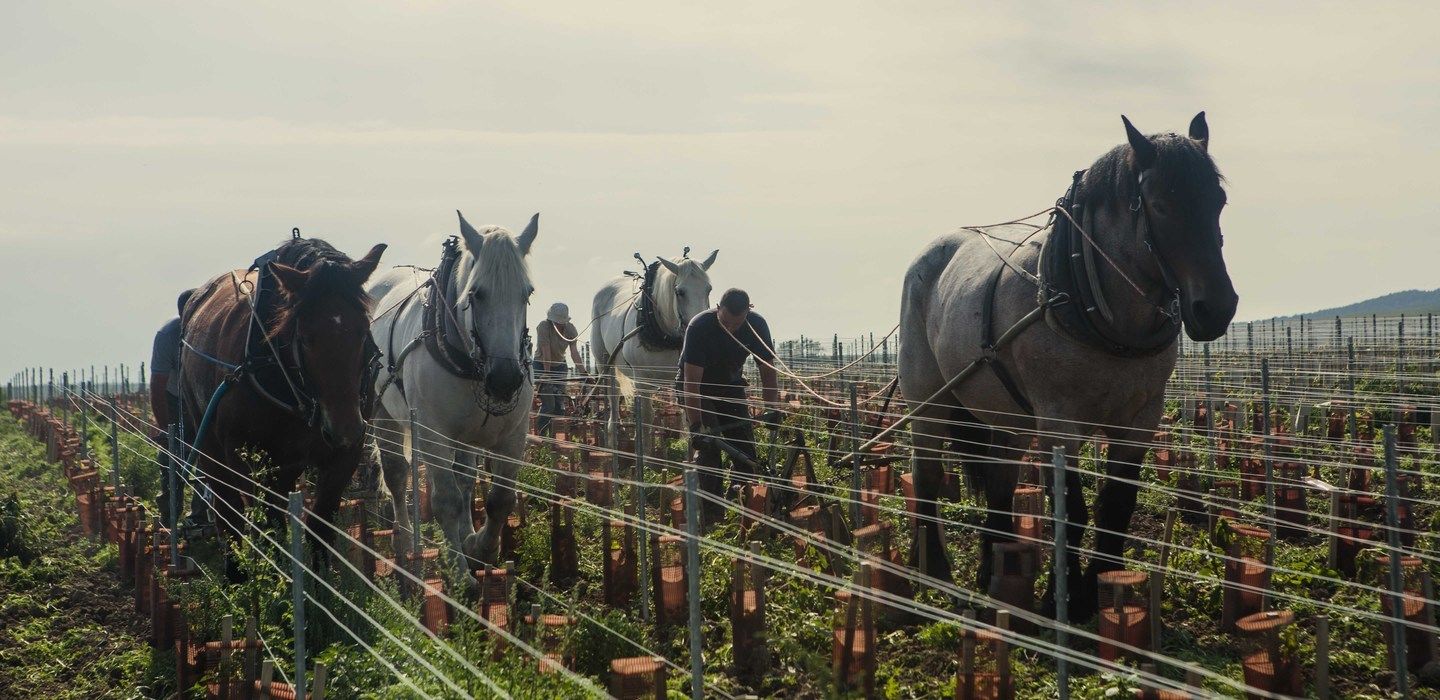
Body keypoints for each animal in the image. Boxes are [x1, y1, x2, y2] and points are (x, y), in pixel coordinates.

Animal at [179, 237, 383, 576]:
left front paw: (318, 584)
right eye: (305, 337)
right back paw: (235, 575)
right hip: (209, 445)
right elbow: (268, 529)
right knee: (228, 512)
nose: (345, 429)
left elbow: (319, 527)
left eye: (363, 329)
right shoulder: (245, 458)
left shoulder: (344, 458)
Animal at [368, 211, 538, 573]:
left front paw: (481, 548)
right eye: (476, 293)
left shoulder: (514, 435)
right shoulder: (433, 434)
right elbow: (446, 500)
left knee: (465, 481)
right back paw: (405, 540)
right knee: (397, 473)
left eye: (527, 292)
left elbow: (500, 499)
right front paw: (460, 573)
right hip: (384, 414)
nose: (505, 379)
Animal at [898, 114, 1238, 622]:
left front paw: (1100, 591)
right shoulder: (1060, 421)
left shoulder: (1140, 419)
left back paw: (992, 572)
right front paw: (1066, 600)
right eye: (1160, 204)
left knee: (999, 483)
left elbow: (1116, 506)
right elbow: (1071, 511)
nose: (1216, 309)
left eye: (1218, 200)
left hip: (1009, 416)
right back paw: (935, 574)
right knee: (926, 477)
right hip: (928, 400)